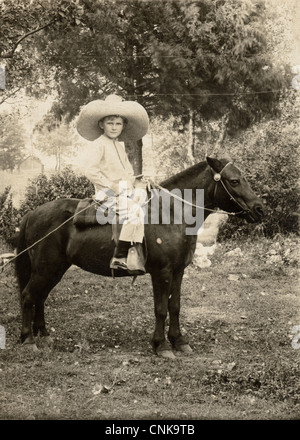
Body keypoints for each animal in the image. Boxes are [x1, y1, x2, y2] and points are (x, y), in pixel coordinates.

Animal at [15, 157, 264, 358]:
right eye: (234, 181)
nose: (259, 209)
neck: (171, 214)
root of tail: (32, 213)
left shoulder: (178, 271)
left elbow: (175, 306)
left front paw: (179, 341)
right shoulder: (162, 272)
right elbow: (161, 308)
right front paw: (161, 345)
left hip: (55, 270)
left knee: (40, 297)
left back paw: (44, 334)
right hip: (45, 269)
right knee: (28, 296)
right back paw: (28, 339)